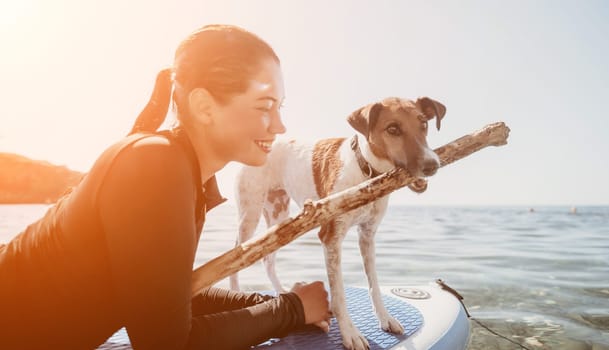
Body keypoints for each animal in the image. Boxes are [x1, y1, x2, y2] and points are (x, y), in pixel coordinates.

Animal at [230, 97, 444, 348]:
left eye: (424, 123)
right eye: (393, 129)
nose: (432, 165)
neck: (366, 172)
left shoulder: (367, 235)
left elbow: (374, 284)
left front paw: (385, 318)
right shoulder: (331, 237)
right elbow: (339, 294)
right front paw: (349, 333)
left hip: (279, 218)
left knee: (267, 259)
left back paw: (282, 292)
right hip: (250, 215)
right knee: (235, 258)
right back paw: (237, 291)